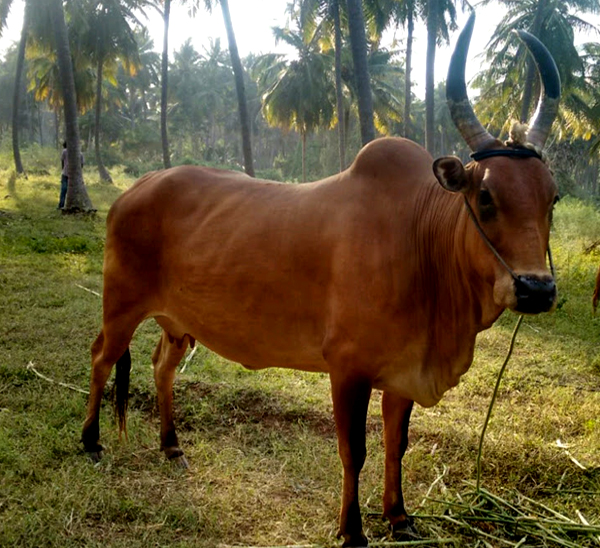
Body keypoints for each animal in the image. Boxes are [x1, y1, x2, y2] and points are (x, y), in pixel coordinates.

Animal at [82, 13, 560, 548]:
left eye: (553, 198)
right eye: (485, 197)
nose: (536, 289)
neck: (421, 242)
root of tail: (136, 189)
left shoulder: (403, 371)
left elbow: (396, 444)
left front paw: (399, 516)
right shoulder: (347, 370)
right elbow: (355, 451)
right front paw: (352, 530)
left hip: (178, 321)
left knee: (162, 367)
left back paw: (171, 446)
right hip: (121, 304)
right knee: (101, 358)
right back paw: (91, 441)